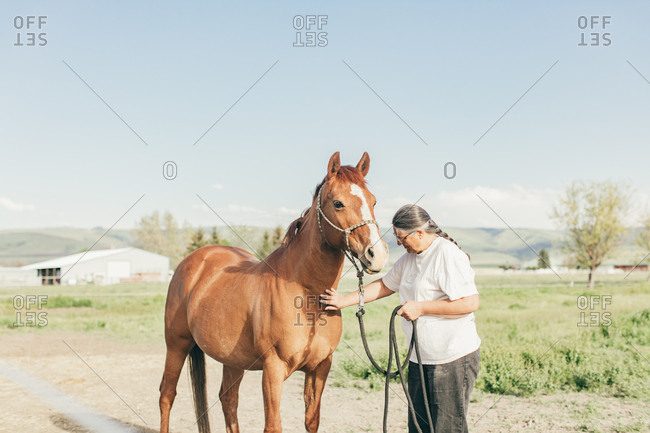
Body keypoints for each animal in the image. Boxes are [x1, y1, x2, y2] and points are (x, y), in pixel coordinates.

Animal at [159, 151, 389, 433]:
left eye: (373, 201)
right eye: (338, 203)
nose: (377, 254)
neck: (306, 298)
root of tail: (194, 261)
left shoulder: (320, 368)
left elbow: (312, 421)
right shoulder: (273, 369)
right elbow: (273, 424)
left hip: (232, 359)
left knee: (228, 400)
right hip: (176, 344)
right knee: (167, 394)